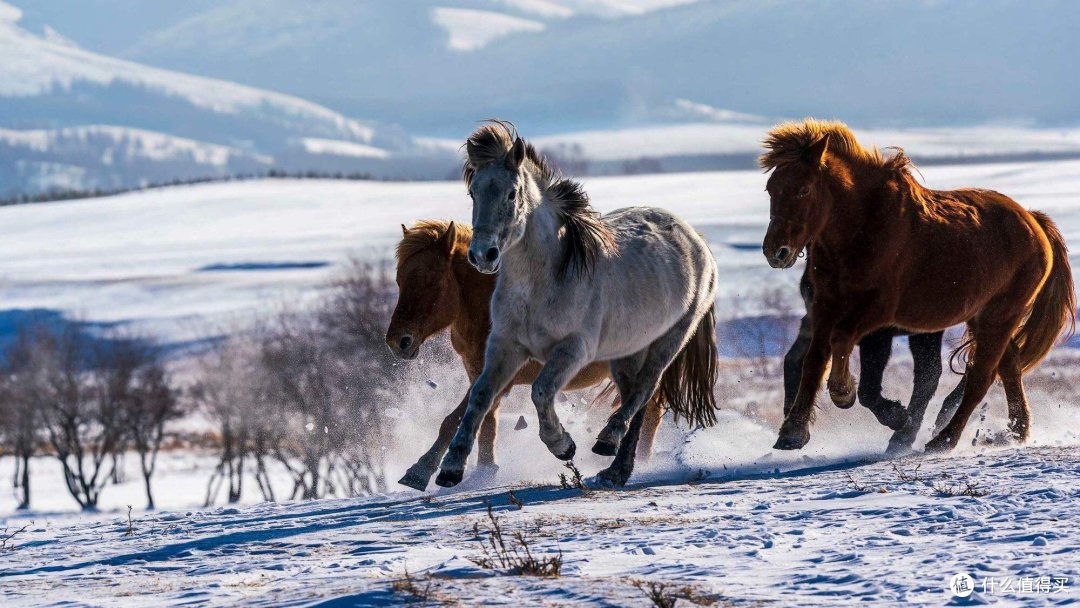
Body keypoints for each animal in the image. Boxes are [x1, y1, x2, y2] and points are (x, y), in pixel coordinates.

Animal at [385, 220, 666, 490]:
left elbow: (453, 420)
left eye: (431, 282)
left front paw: (421, 471)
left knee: (648, 409)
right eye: (399, 281)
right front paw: (483, 473)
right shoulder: (481, 373)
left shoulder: (504, 377)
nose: (397, 342)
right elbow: (485, 421)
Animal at [435, 120, 719, 487]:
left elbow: (540, 391)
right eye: (474, 193)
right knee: (637, 399)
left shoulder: (573, 349)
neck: (542, 282)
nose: (483, 255)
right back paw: (615, 470)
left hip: (669, 339)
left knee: (644, 391)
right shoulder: (505, 345)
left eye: (512, 193)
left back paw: (607, 441)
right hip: (627, 351)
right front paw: (451, 468)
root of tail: (696, 239)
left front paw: (563, 446)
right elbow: (480, 396)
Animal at [784, 264, 966, 453]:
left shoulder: (878, 334)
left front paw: (898, 417)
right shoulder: (817, 323)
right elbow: (797, 361)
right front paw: (792, 430)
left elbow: (868, 390)